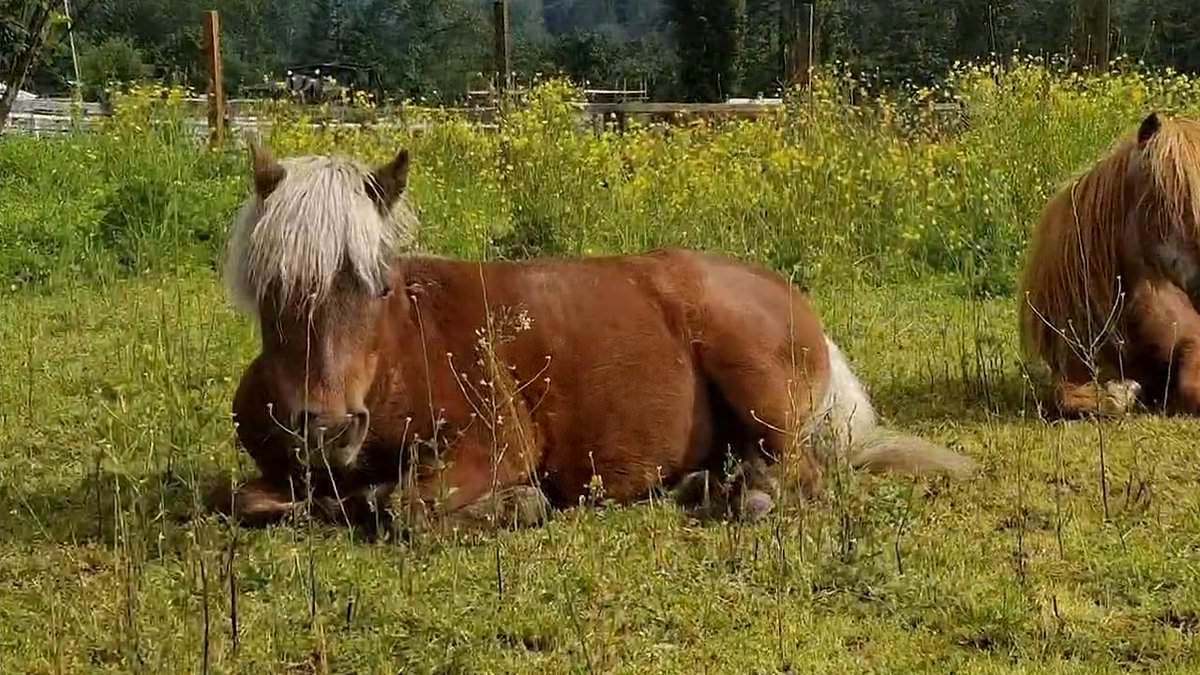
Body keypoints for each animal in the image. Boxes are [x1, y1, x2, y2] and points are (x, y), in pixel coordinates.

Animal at [206, 142, 974, 530]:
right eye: (273, 286)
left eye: (380, 285)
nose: (328, 427)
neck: (399, 352)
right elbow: (244, 498)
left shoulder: (494, 443)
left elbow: (408, 504)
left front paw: (517, 504)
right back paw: (702, 483)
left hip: (758, 387)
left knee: (801, 474)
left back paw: (741, 495)